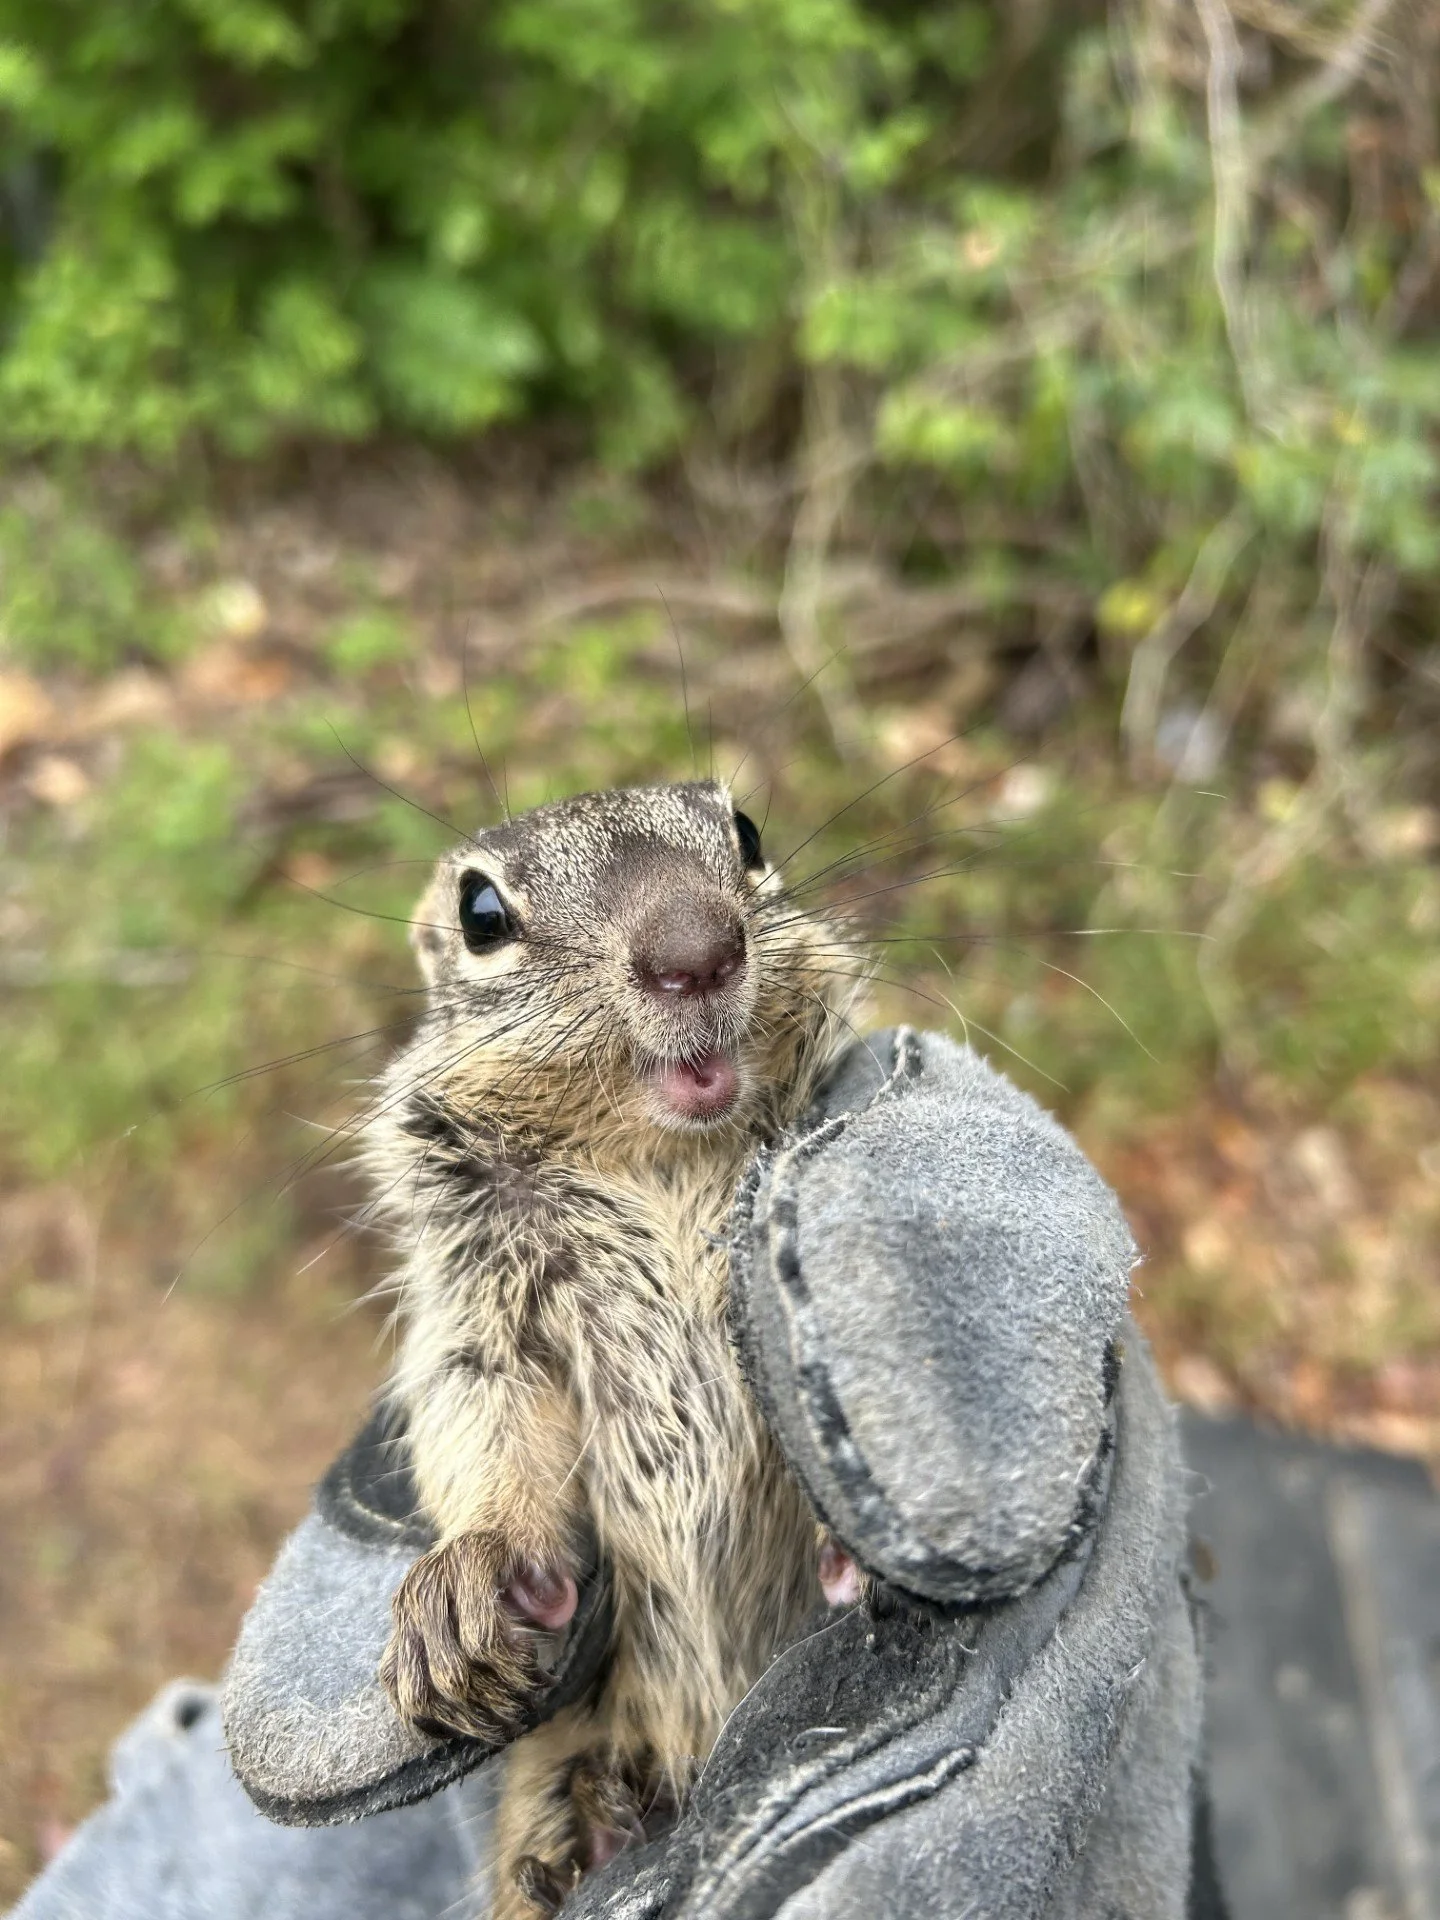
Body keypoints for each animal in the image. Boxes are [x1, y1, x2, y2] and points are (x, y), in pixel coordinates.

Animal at [363, 778, 865, 1918]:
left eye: (748, 836)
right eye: (482, 915)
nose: (696, 949)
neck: (654, 1161)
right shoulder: (478, 1300)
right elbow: (483, 1410)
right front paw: (476, 1580)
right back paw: (594, 1834)